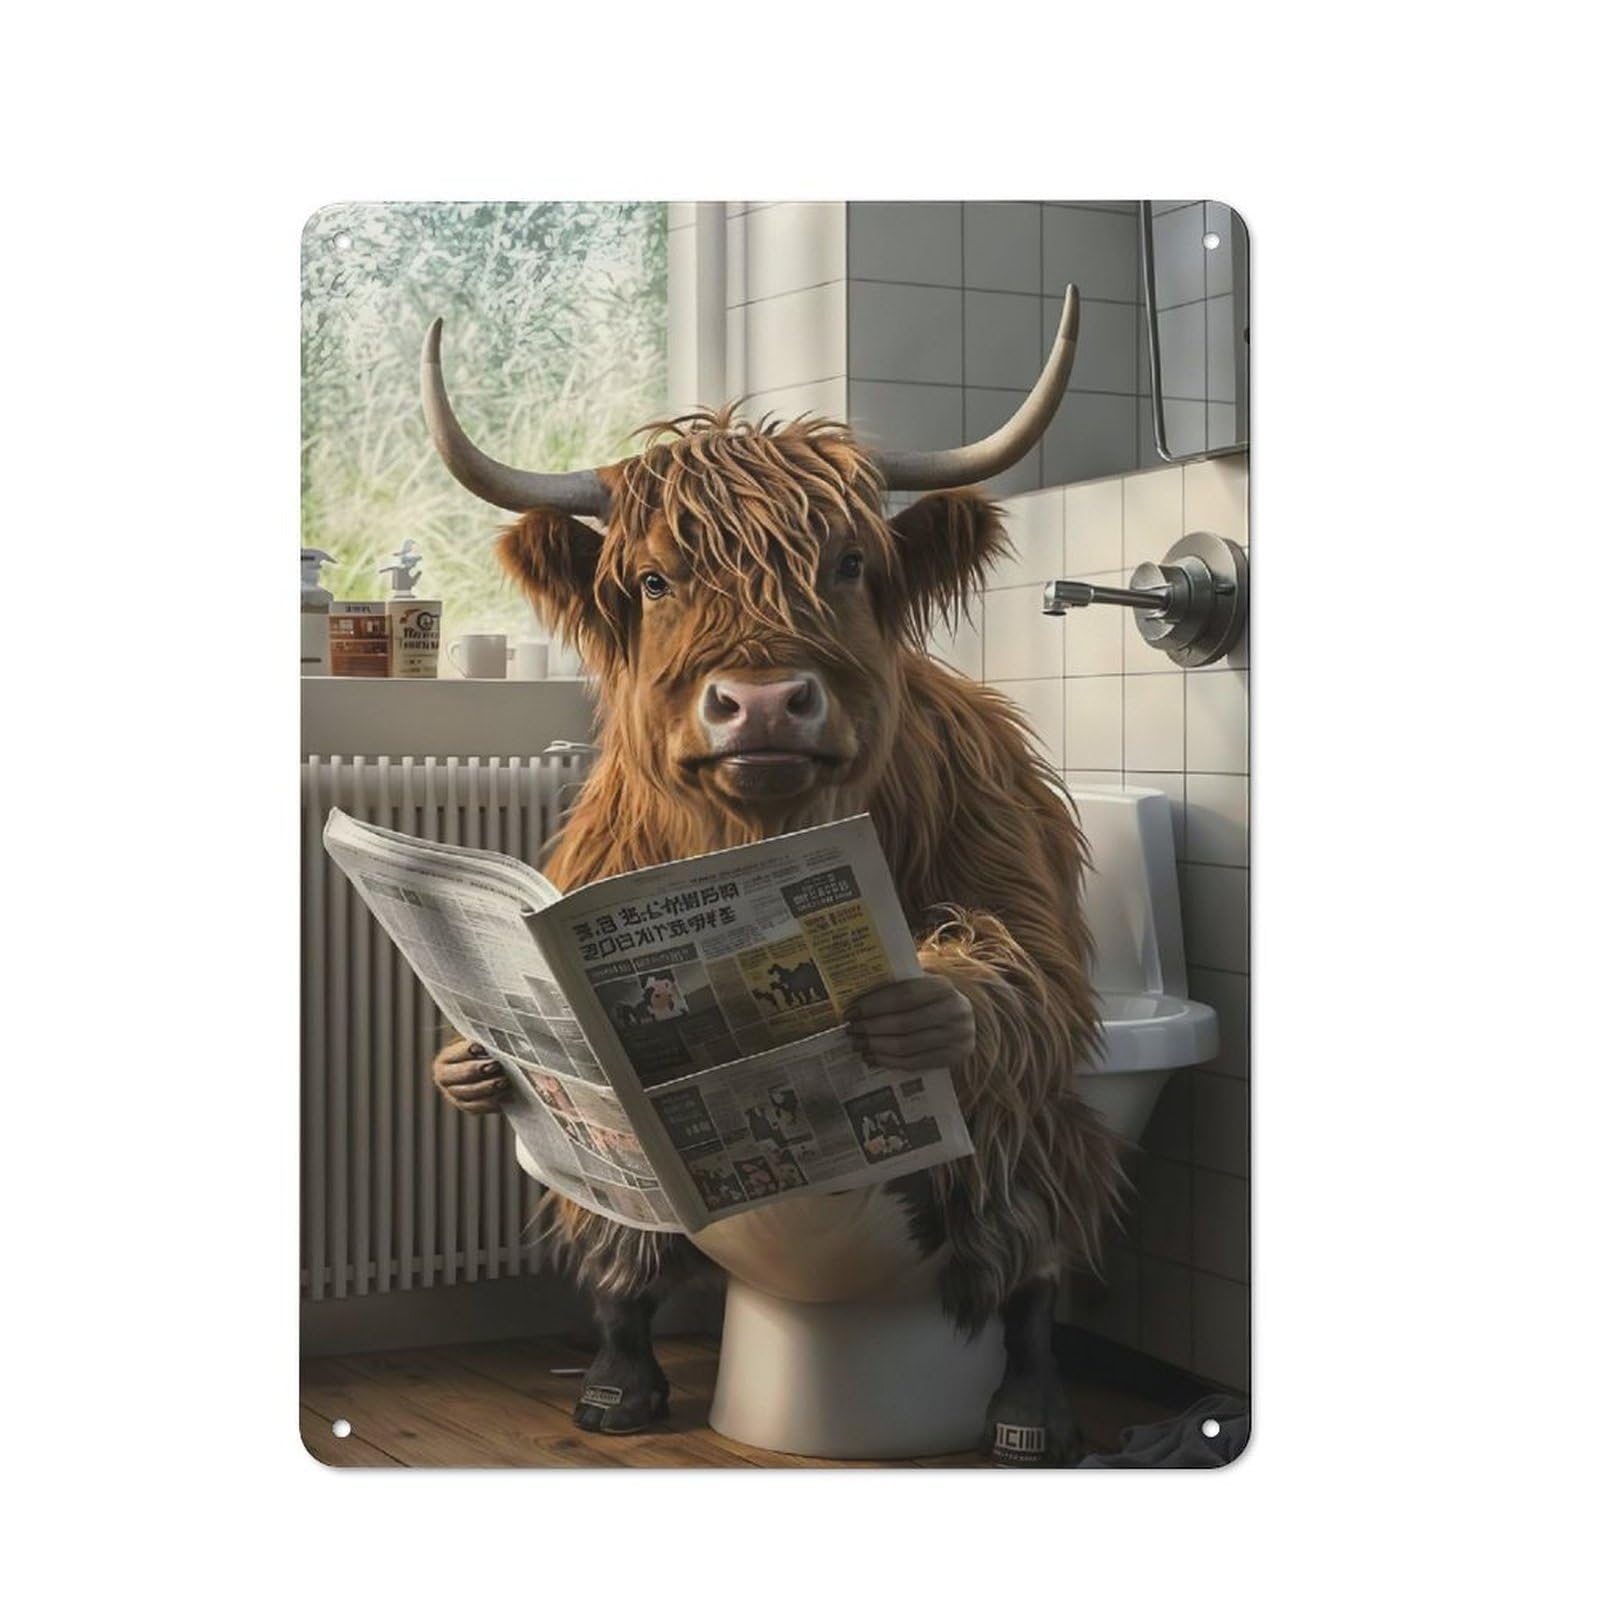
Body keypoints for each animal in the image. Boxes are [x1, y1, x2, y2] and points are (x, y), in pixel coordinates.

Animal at [425, 285, 1125, 1465]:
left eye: (847, 564)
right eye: (654, 578)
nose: (759, 703)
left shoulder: (997, 830)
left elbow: (1036, 976)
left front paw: (921, 1011)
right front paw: (468, 1064)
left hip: (1025, 1155)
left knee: (1024, 1187)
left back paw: (1031, 1404)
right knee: (622, 1224)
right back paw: (617, 1375)